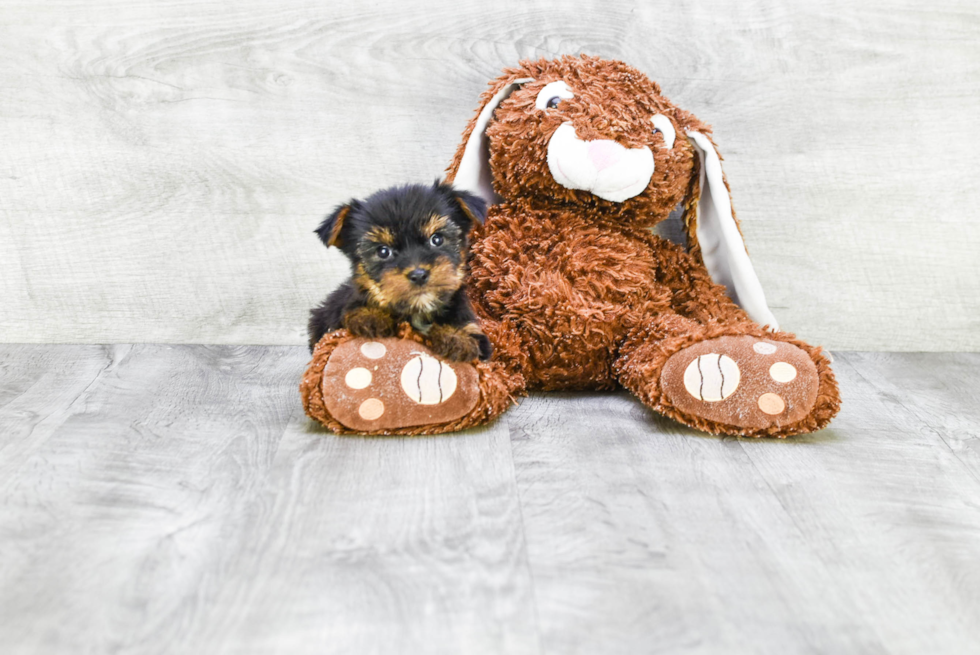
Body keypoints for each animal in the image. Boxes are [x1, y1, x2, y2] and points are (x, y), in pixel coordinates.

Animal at [306, 181, 490, 364]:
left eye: (437, 239)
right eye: (383, 251)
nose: (418, 275)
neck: (418, 311)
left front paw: (457, 337)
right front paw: (371, 316)